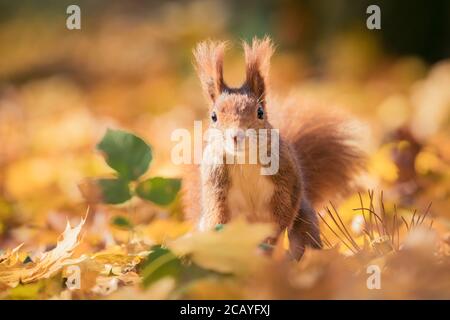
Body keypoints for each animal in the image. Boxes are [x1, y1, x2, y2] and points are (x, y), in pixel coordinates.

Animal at [181, 36, 364, 258]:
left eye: (260, 112)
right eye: (213, 116)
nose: (236, 136)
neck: (245, 159)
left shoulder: (285, 177)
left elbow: (283, 214)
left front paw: (271, 240)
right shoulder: (215, 181)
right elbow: (217, 214)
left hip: (304, 222)